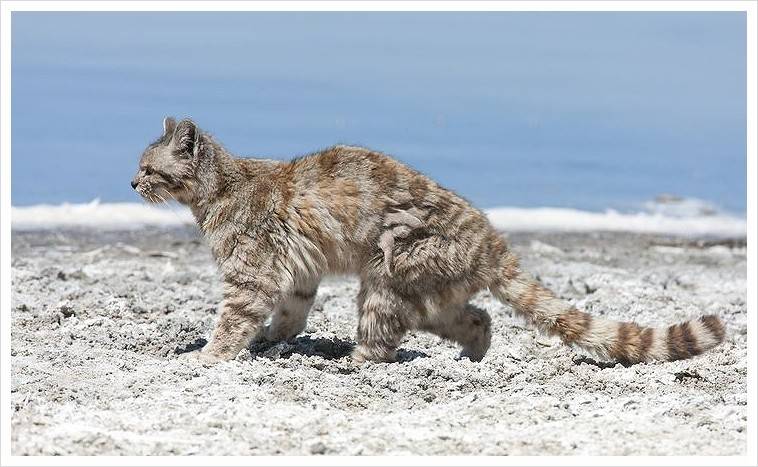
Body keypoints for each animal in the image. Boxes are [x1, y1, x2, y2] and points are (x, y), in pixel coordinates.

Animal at [132, 118, 732, 366]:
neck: (221, 186)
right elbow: (291, 309)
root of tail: (491, 239)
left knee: (384, 337)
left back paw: (355, 359)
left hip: (390, 274)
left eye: (147, 168)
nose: (131, 184)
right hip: (431, 291)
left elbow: (236, 316)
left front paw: (213, 354)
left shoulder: (252, 270)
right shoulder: (297, 272)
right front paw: (273, 338)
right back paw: (473, 353)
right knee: (476, 316)